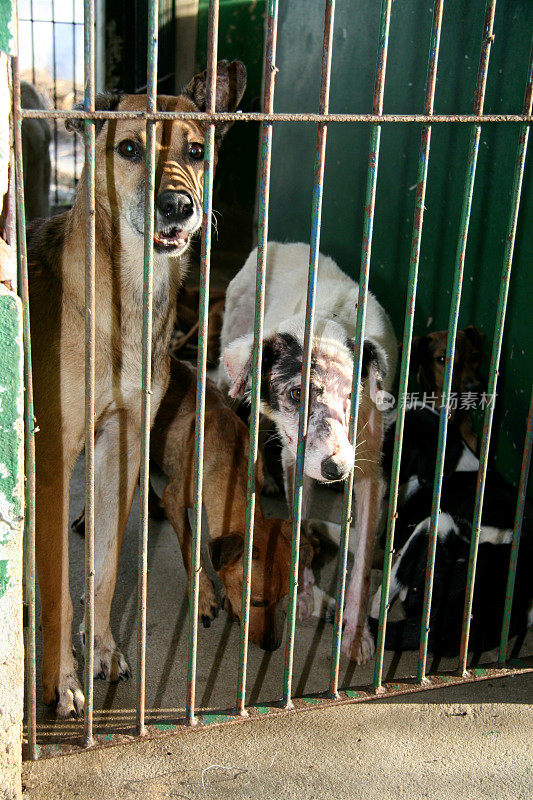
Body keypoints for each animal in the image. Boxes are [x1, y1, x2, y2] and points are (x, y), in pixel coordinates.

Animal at [26, 59, 245, 716]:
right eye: (129, 149)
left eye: (197, 151)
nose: (178, 206)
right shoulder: (54, 459)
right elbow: (58, 586)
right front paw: (62, 681)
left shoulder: (121, 445)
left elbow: (104, 572)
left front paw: (101, 651)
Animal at [150, 360, 314, 652]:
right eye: (257, 602)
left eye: (284, 597)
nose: (272, 646)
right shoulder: (174, 498)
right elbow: (191, 549)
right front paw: (204, 597)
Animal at [216, 242, 394, 664]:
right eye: (298, 393)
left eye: (352, 396)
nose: (335, 469)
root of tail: (278, 244)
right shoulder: (295, 463)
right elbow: (298, 527)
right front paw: (305, 595)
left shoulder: (370, 473)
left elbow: (362, 562)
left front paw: (354, 635)